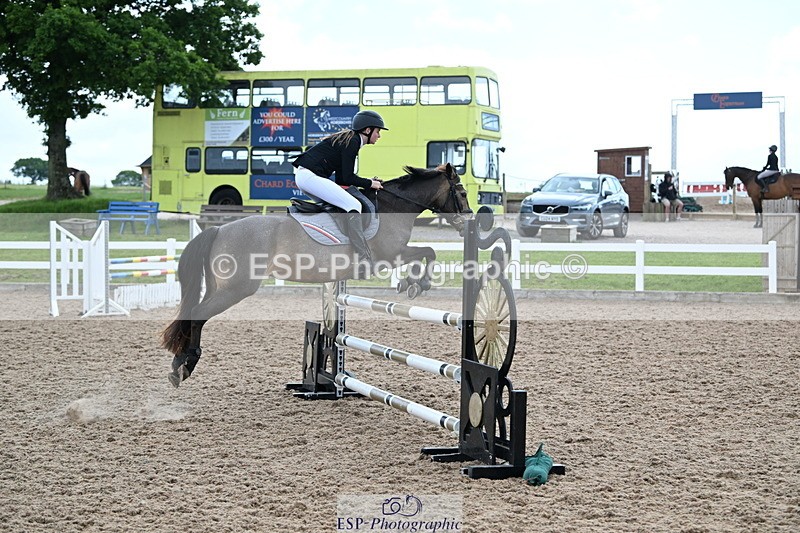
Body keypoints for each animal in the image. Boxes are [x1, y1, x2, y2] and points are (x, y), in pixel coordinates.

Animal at [161, 163, 472, 387]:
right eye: (463, 193)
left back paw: (178, 364)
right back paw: (185, 365)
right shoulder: (390, 255)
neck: (394, 207)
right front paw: (416, 283)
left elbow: (426, 252)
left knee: (194, 314)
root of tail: (218, 229)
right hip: (236, 288)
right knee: (198, 315)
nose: (467, 222)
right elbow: (428, 251)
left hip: (220, 287)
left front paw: (412, 282)